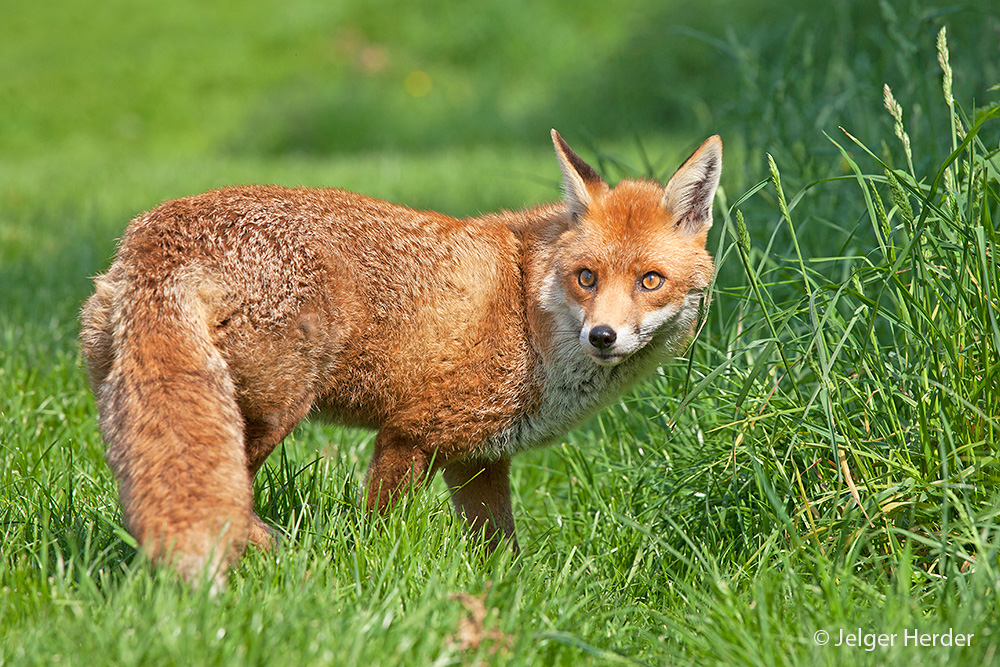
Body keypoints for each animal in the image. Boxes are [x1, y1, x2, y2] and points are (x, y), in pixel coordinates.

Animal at [78, 129, 720, 584]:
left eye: (650, 280)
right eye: (587, 277)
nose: (603, 337)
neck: (528, 311)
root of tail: (158, 235)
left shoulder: (479, 459)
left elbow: (502, 554)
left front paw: (514, 601)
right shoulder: (409, 433)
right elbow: (378, 533)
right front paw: (370, 577)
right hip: (271, 411)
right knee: (233, 507)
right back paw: (289, 560)